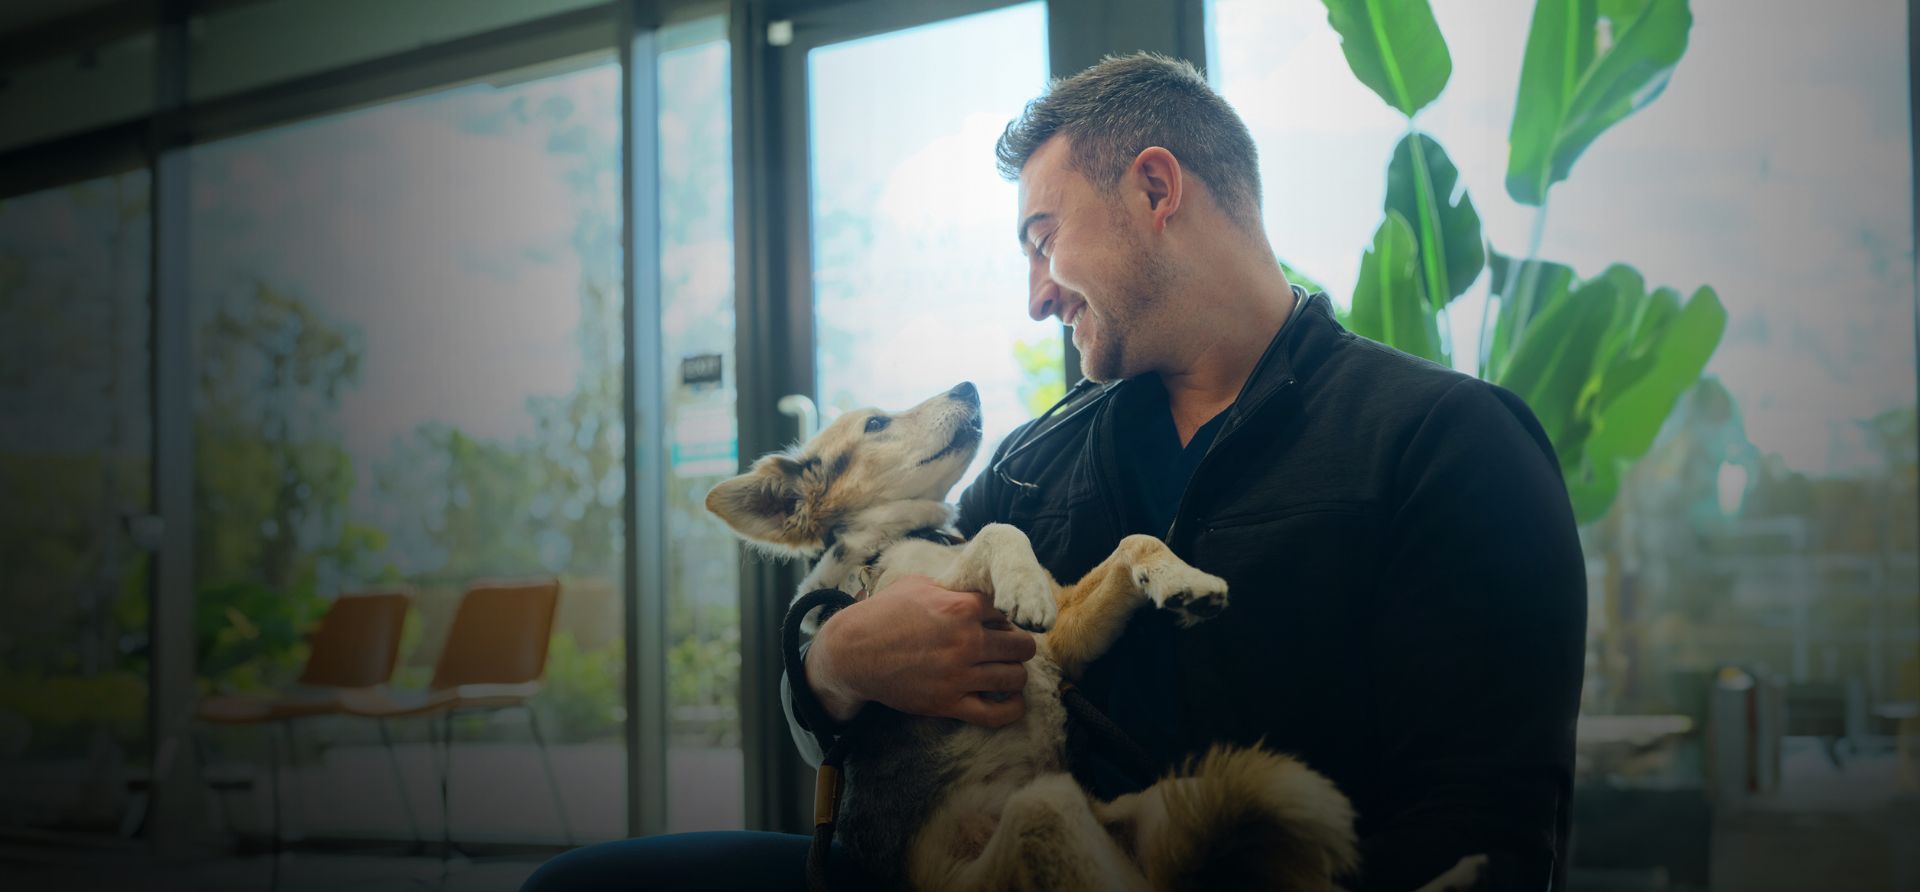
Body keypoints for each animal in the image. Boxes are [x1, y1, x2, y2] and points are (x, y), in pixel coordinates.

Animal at [714, 379, 1359, 886]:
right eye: (875, 424)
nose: (968, 387)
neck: (903, 538)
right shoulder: (934, 600)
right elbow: (999, 530)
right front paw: (1023, 585)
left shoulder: (1061, 644)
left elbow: (1136, 541)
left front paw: (1186, 581)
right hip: (1041, 813)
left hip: (1216, 794)